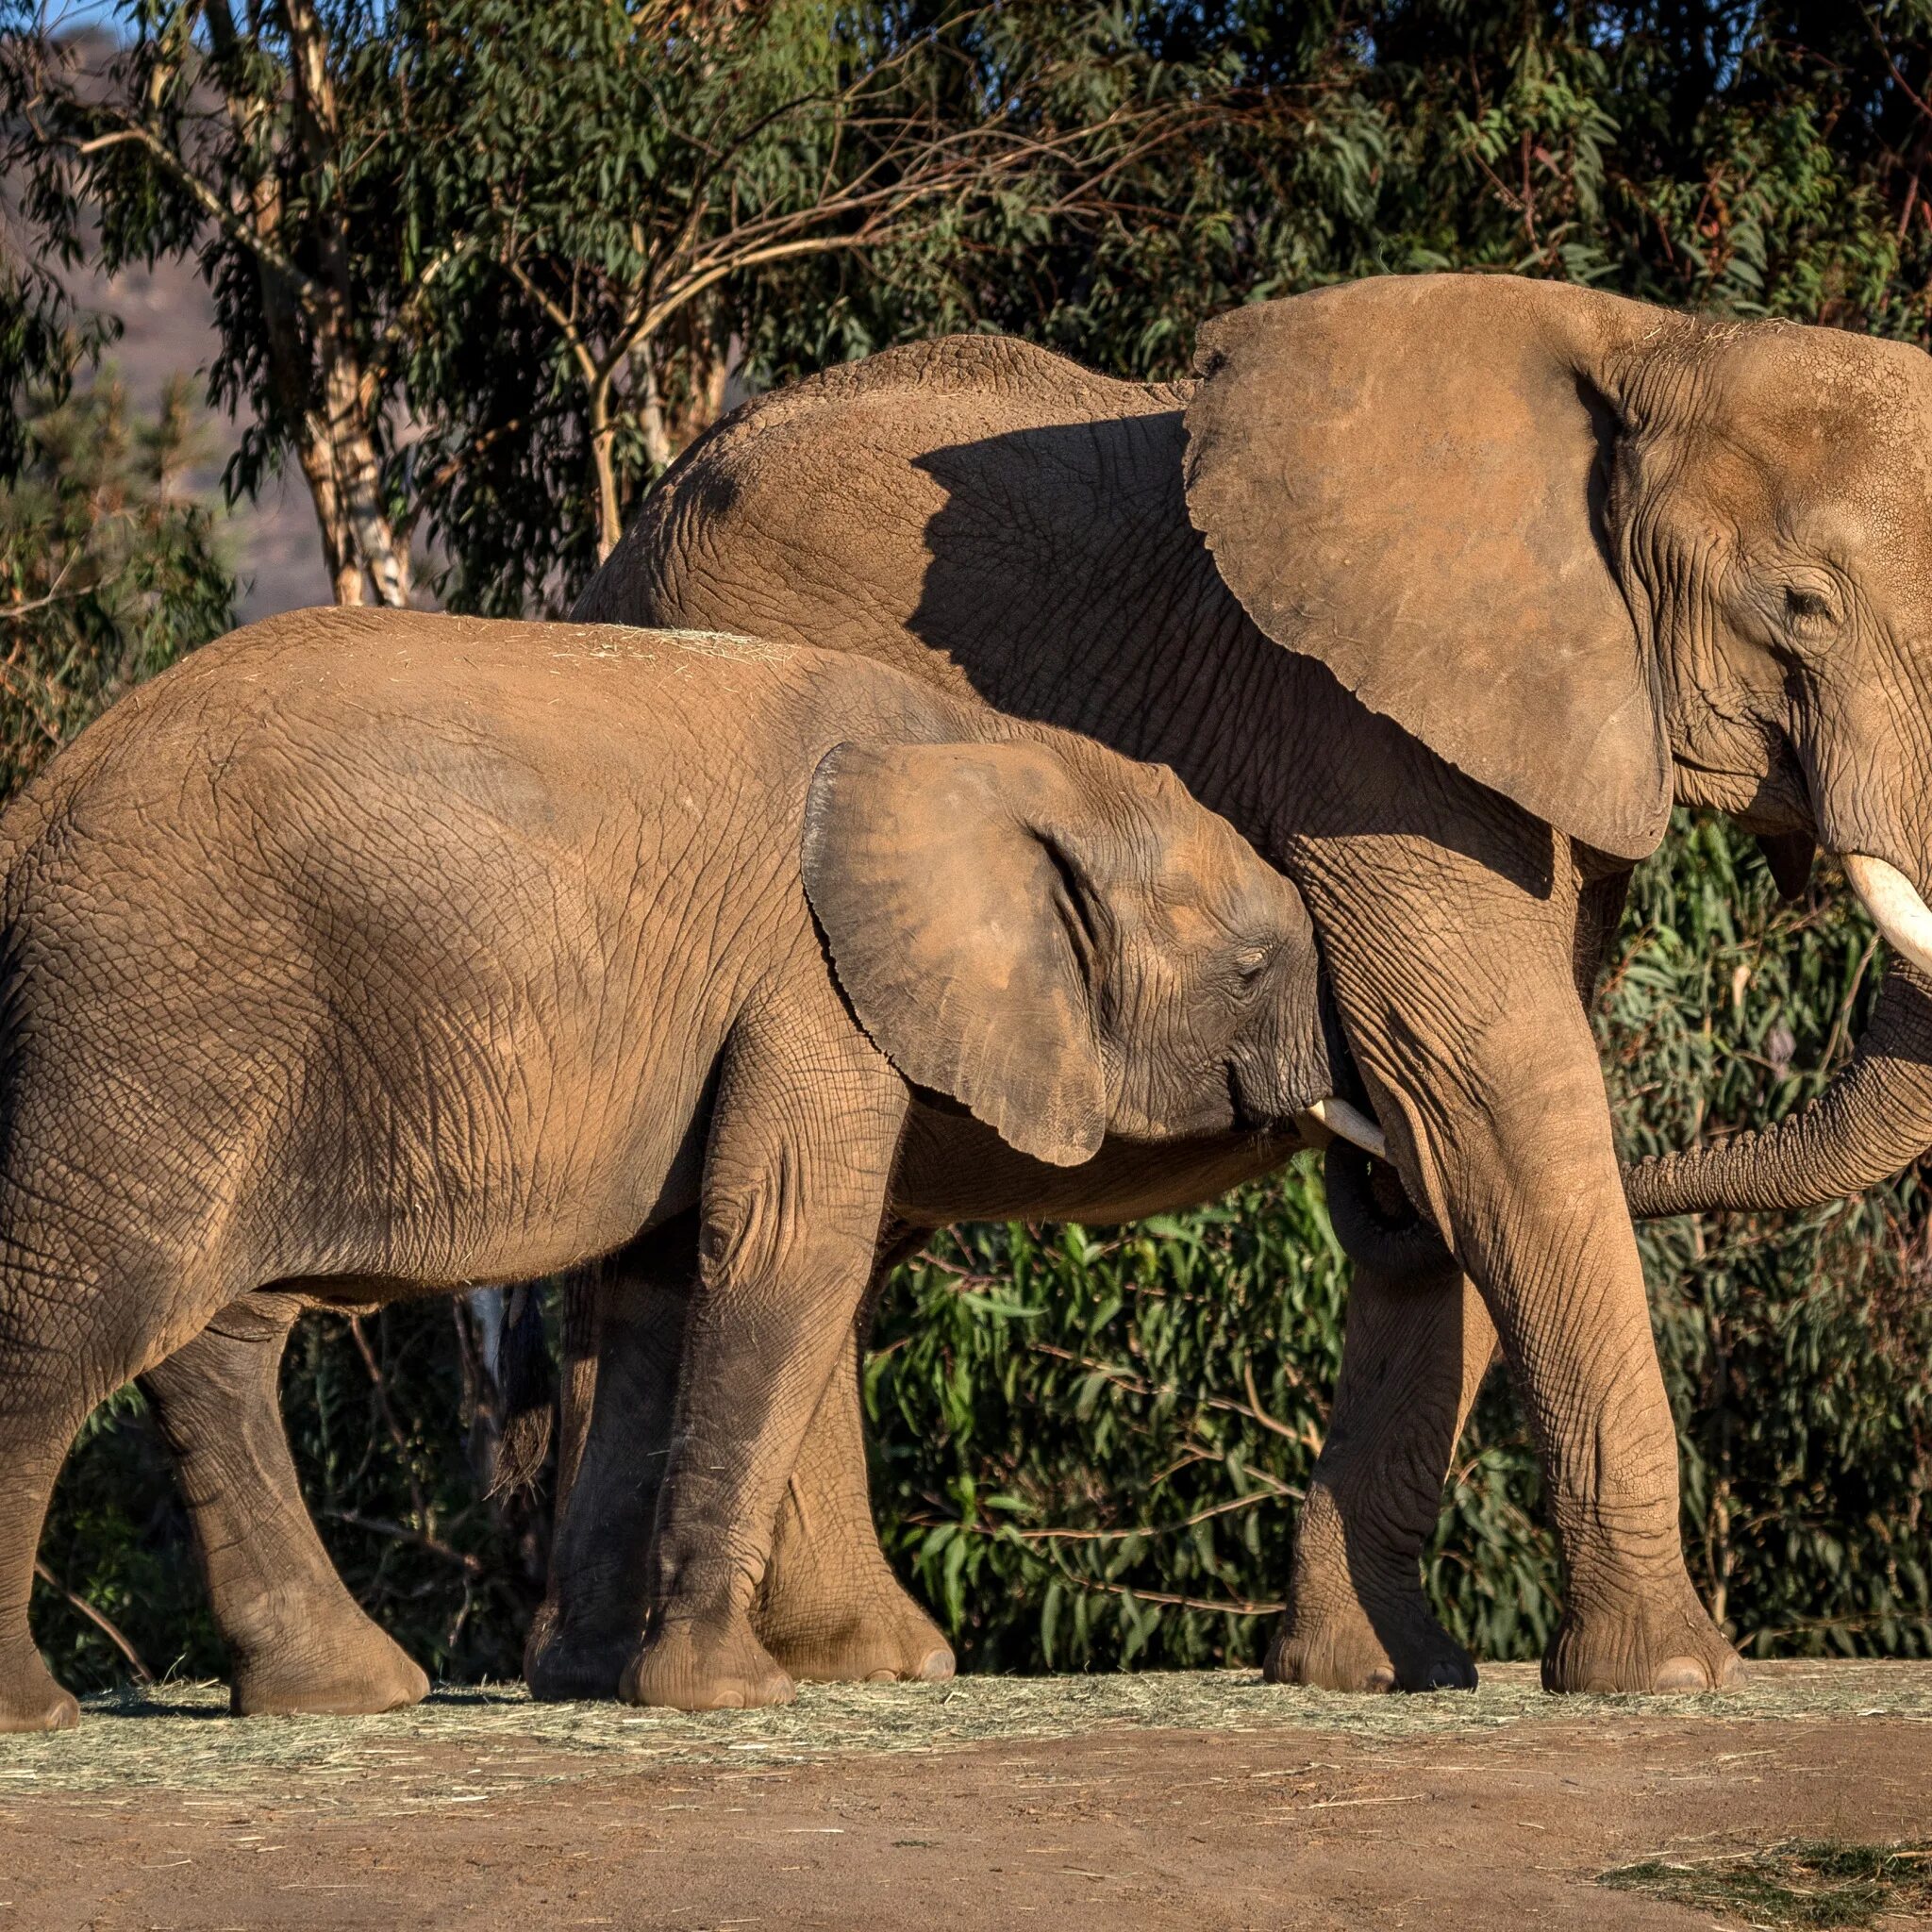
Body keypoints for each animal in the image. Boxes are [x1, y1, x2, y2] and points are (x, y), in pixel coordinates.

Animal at [0, 607, 1352, 1723]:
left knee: (212, 1335)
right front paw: (727, 1694)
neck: (993, 746)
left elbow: (654, 1287)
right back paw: (44, 1712)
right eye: (1248, 970)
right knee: (74, 1320)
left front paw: (593, 1681)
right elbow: (783, 1247)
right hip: (150, 1012)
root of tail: (34, 808)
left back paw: (346, 1692)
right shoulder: (810, 980)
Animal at [544, 272, 1932, 1692]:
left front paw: (1373, 1674)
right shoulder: (1355, 727)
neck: (1648, 338)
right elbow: (1491, 1086)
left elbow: (1464, 1122)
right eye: (1801, 606)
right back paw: (820, 1663)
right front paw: (1666, 1676)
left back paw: (842, 1657)